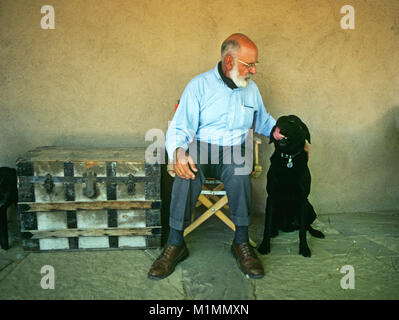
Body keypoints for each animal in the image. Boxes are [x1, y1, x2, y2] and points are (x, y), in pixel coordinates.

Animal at [260, 115, 324, 258]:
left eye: (292, 122)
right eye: (279, 122)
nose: (280, 129)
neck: (289, 158)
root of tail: (288, 226)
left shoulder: (302, 199)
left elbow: (302, 231)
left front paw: (304, 248)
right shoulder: (271, 198)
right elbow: (266, 226)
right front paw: (264, 246)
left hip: (310, 209)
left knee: (306, 226)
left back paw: (316, 232)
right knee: (273, 224)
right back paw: (274, 231)